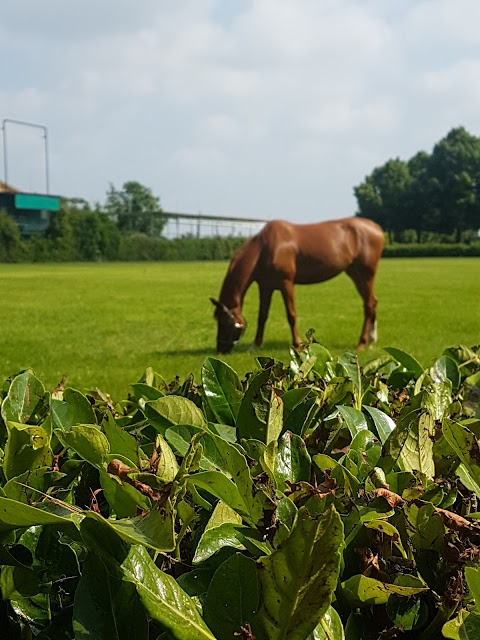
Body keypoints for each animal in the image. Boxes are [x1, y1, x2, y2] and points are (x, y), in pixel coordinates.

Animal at [210, 218, 382, 352]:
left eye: (225, 322)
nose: (221, 349)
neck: (266, 248)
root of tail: (376, 229)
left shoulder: (286, 284)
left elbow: (291, 315)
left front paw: (298, 344)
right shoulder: (266, 287)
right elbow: (262, 316)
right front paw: (255, 345)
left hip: (366, 275)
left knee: (368, 304)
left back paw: (361, 343)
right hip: (355, 274)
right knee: (372, 302)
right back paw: (372, 340)